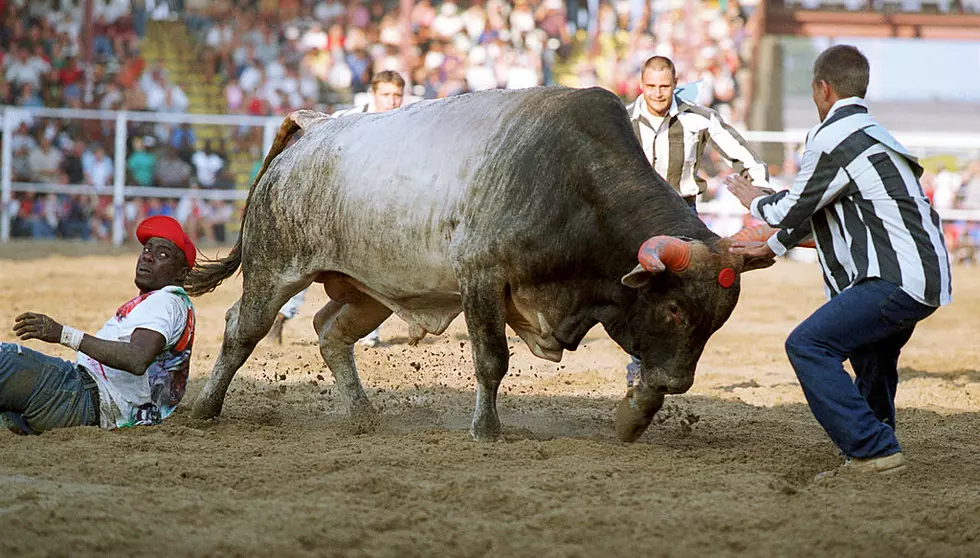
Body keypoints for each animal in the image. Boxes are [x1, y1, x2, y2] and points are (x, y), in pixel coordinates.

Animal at [188, 87, 776, 444]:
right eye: (674, 308)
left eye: (715, 320)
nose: (681, 382)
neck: (573, 183)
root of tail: (313, 129)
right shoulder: (481, 280)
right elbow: (492, 360)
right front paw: (487, 430)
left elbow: (642, 370)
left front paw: (638, 414)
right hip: (275, 268)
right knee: (242, 329)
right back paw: (204, 409)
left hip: (368, 290)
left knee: (331, 332)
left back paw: (362, 414)